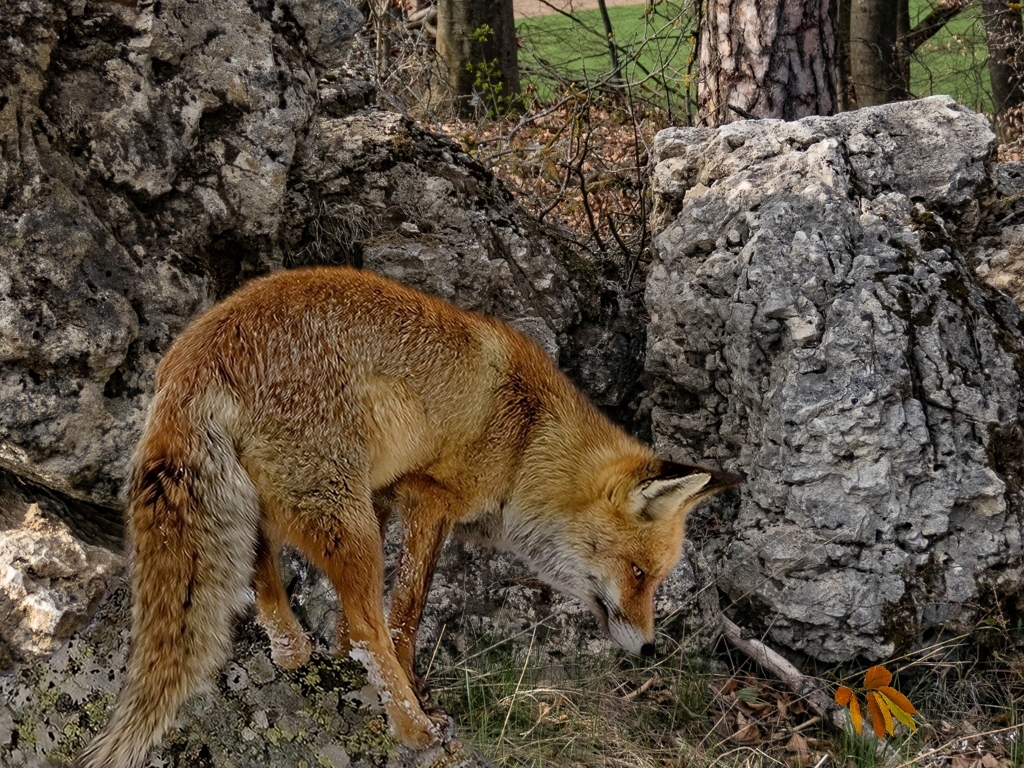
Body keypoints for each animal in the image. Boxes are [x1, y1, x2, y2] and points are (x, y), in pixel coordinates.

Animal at [77, 266, 737, 768]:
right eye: (639, 574)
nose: (648, 649)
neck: (529, 441)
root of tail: (195, 355)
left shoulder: (385, 495)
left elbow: (358, 624)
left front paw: (339, 654)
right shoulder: (429, 497)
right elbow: (404, 618)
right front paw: (412, 691)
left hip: (293, 504)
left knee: (261, 563)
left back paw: (291, 648)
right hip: (348, 523)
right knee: (367, 618)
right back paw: (412, 727)